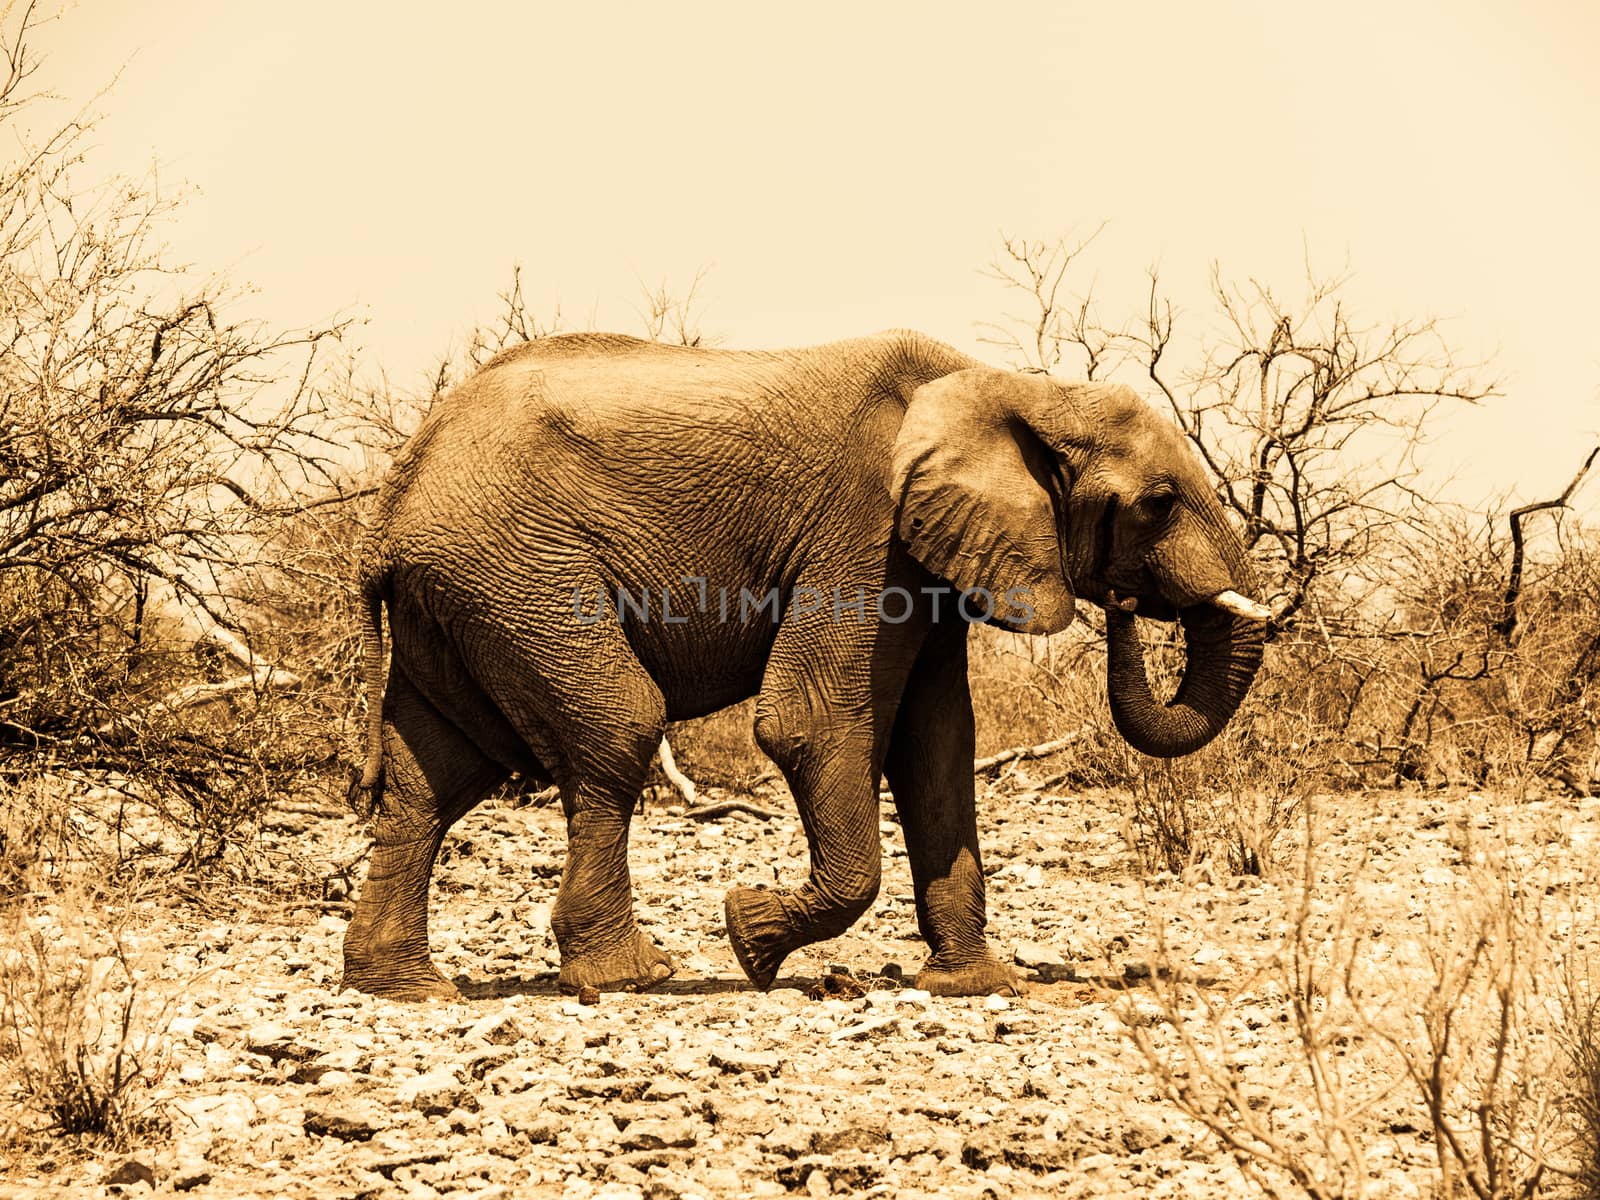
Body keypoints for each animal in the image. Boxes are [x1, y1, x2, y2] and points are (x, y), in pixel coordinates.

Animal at [344, 329, 1267, 1004]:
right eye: (1159, 503)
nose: (1124, 602)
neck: (1013, 387)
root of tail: (388, 508)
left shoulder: (930, 558)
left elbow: (938, 747)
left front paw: (973, 987)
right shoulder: (864, 529)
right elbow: (811, 725)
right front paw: (748, 938)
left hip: (461, 593)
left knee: (435, 778)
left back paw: (407, 990)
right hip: (516, 572)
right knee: (617, 727)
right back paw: (630, 977)